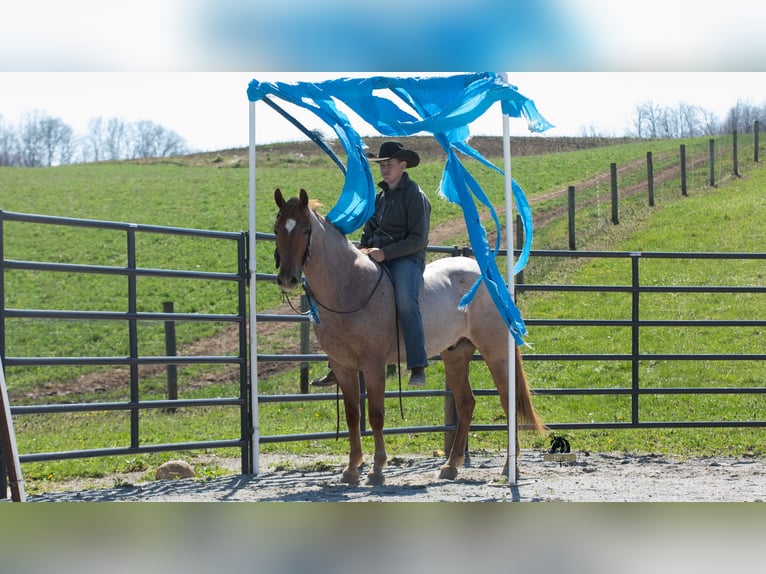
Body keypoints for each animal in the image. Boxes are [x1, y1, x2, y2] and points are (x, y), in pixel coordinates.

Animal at [272, 188, 544, 485]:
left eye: (306, 229)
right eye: (277, 229)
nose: (287, 278)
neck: (350, 286)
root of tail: (489, 276)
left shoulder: (374, 365)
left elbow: (376, 415)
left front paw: (377, 469)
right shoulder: (343, 367)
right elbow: (353, 415)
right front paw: (352, 469)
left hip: (495, 351)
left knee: (508, 401)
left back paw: (510, 467)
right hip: (456, 354)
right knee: (465, 403)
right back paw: (451, 465)